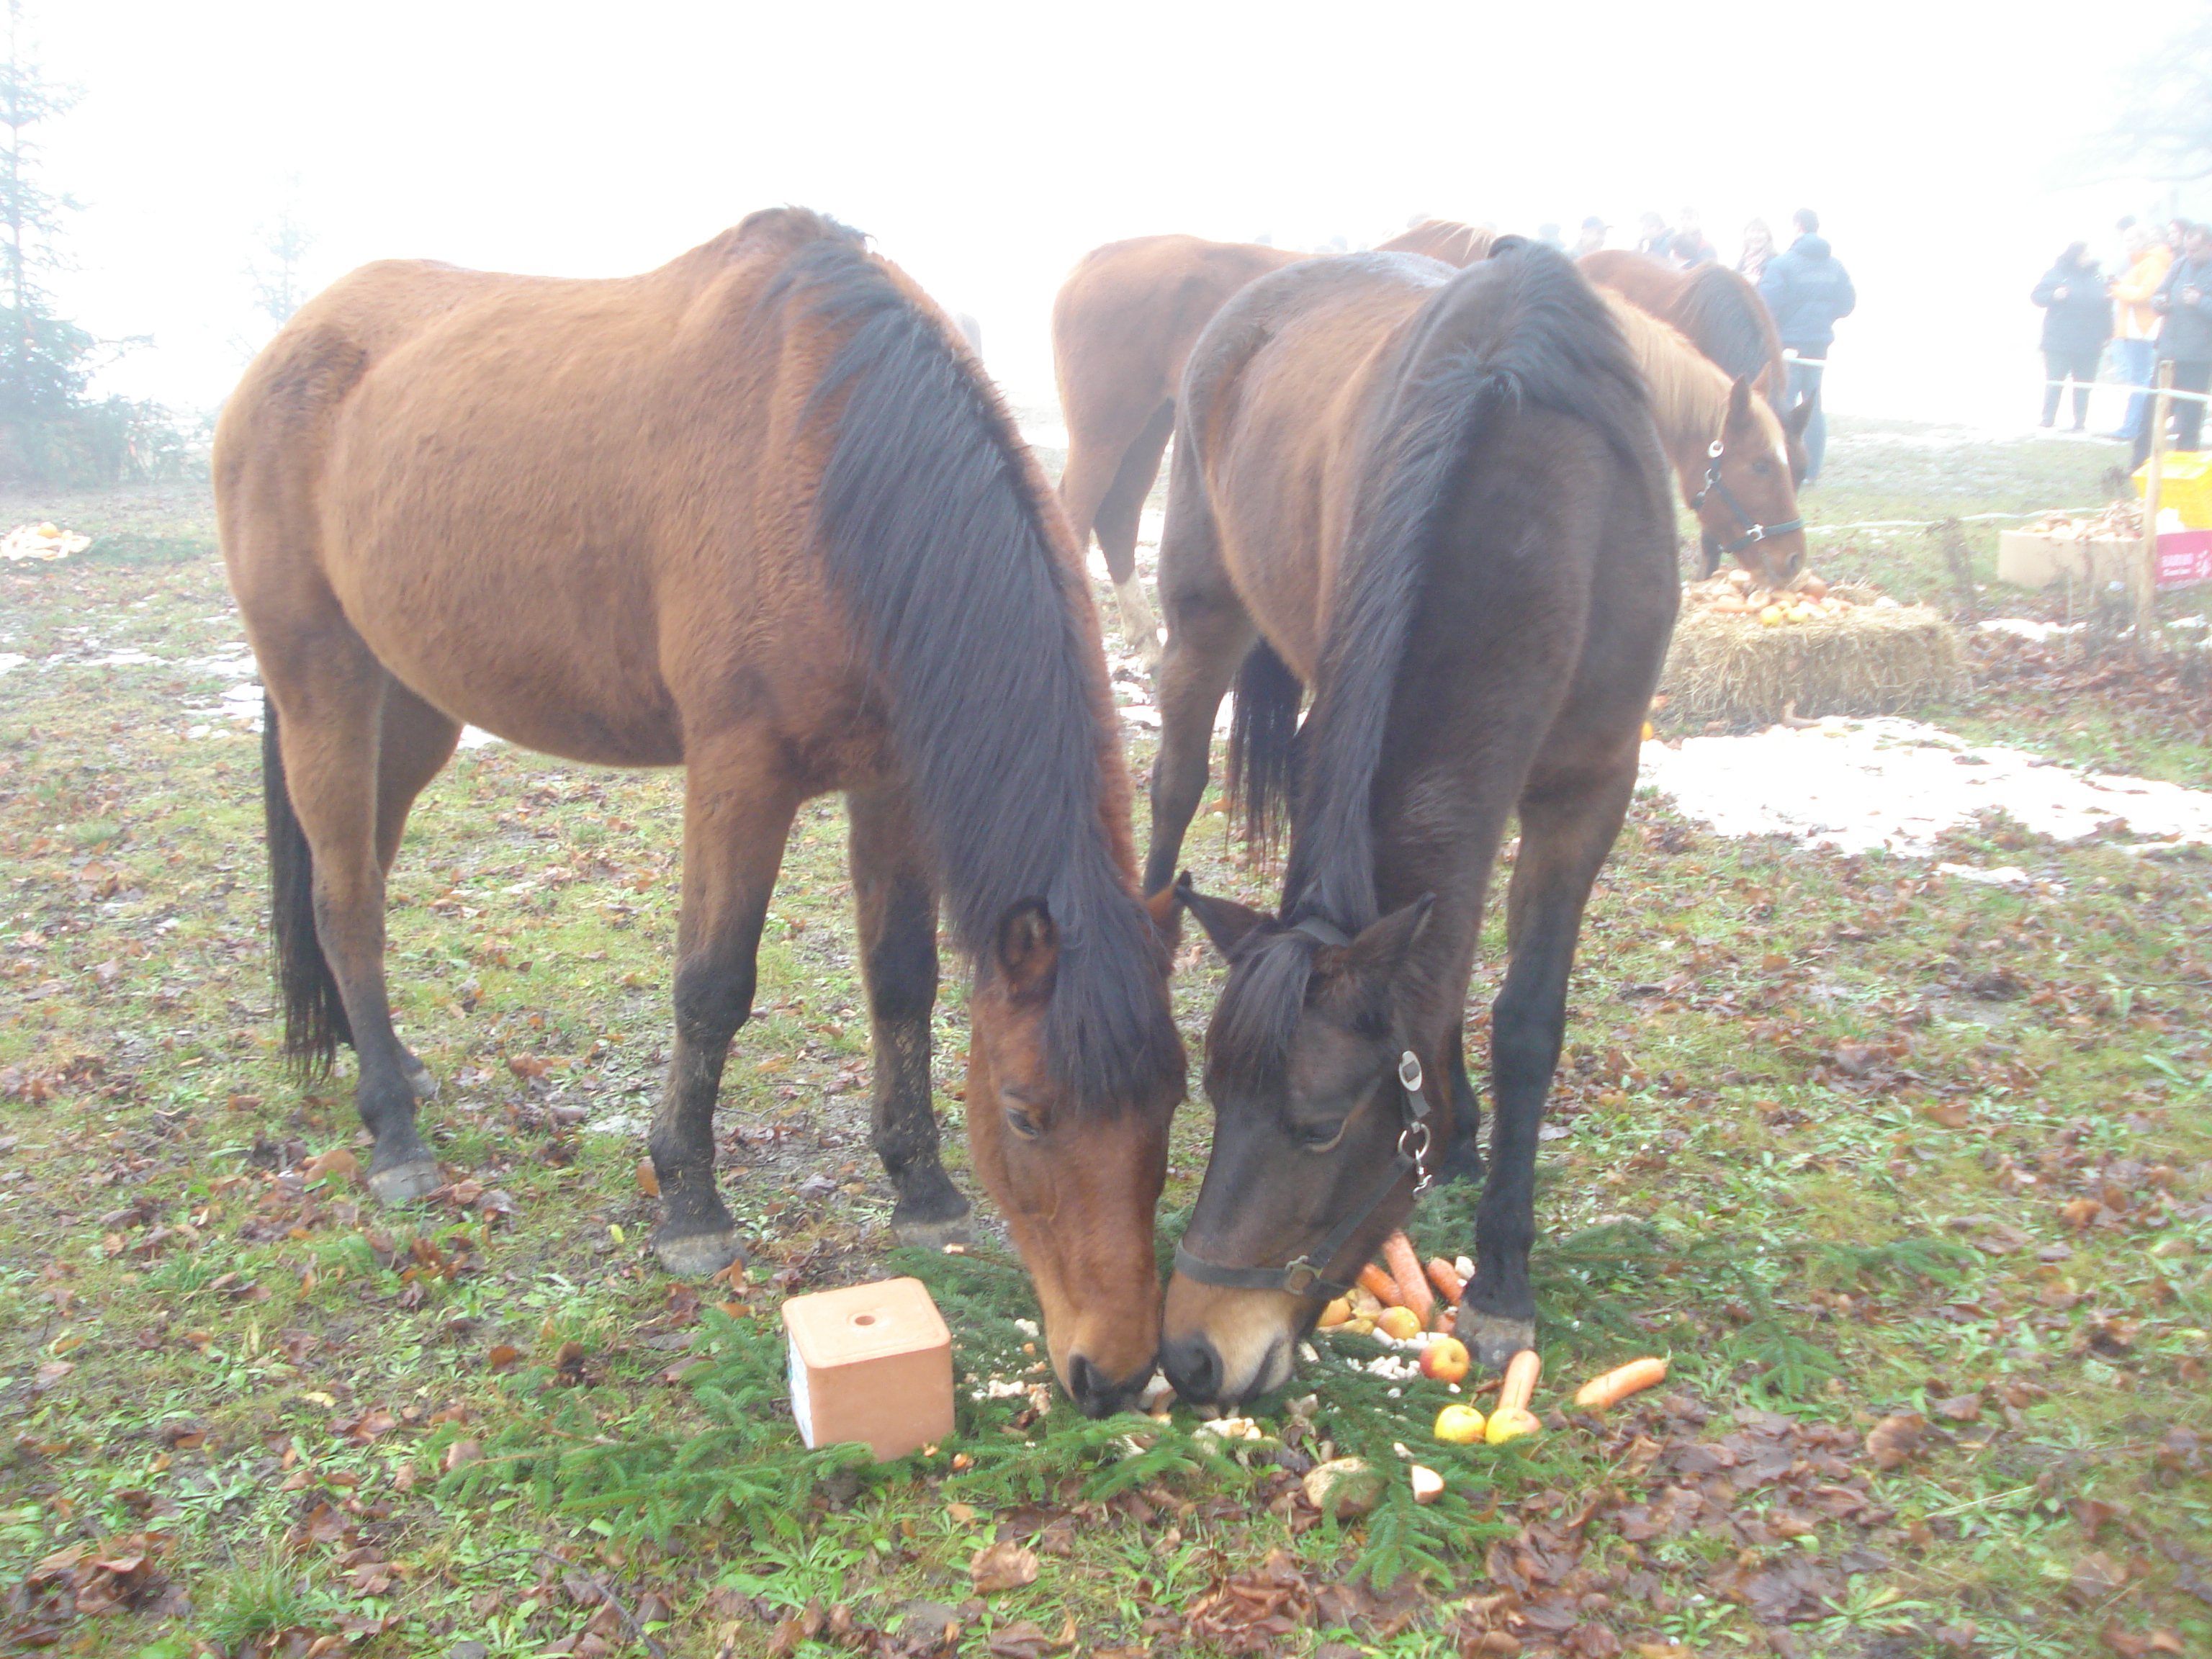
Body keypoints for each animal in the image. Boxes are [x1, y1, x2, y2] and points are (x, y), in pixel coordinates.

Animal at [222, 207, 1185, 1424]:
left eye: (1172, 1102)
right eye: (1025, 1113)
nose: (1116, 1371)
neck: (829, 457)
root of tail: (290, 348)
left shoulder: (891, 783)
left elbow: (902, 982)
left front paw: (919, 1186)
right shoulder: (737, 776)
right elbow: (712, 989)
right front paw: (689, 1203)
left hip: (416, 707)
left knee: (352, 878)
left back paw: (375, 1061)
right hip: (325, 684)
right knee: (347, 899)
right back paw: (394, 1127)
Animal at [1141, 246, 1672, 1406]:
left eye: (1319, 1126)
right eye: (1214, 1102)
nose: (1193, 1356)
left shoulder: (1589, 791)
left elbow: (1521, 1019)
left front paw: (1500, 1266)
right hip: (1203, 621)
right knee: (1171, 790)